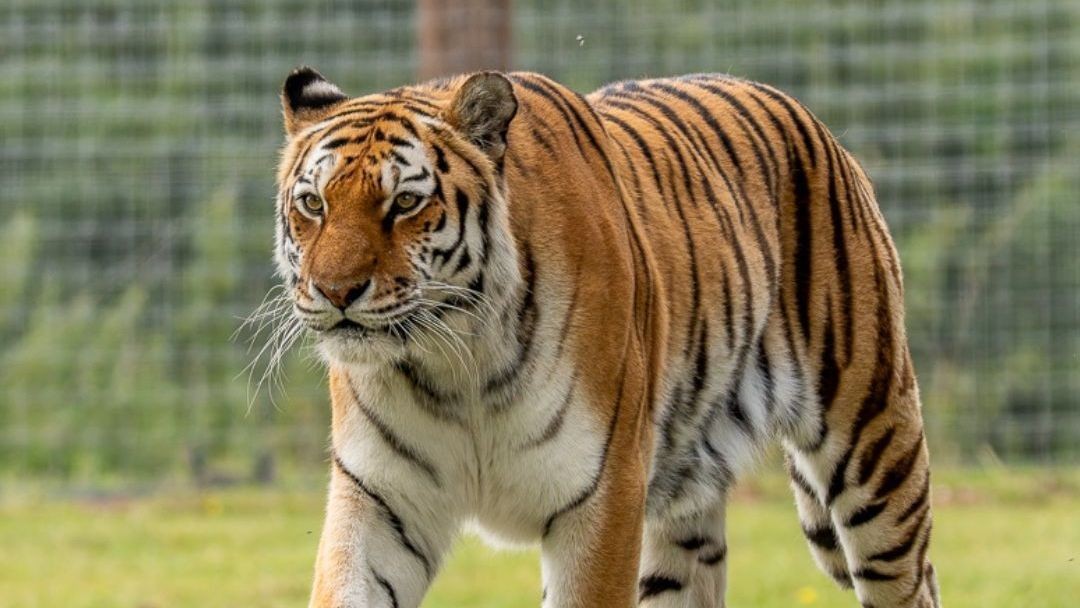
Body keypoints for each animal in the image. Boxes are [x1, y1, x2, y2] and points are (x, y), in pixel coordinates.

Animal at [272, 65, 941, 608]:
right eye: (314, 204)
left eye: (405, 203)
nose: (335, 291)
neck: (454, 365)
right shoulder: (380, 499)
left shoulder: (602, 495)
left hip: (873, 444)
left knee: (912, 579)